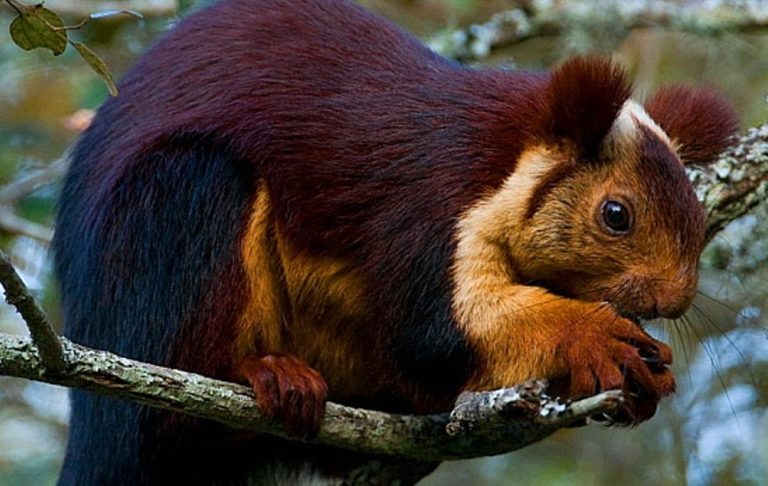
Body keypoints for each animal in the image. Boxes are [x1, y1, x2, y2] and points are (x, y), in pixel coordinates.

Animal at [52, 0, 739, 483]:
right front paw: (594, 337)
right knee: (160, 415)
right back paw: (264, 375)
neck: (506, 160)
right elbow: (431, 337)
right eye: (616, 214)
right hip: (179, 210)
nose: (674, 301)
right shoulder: (427, 206)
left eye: (696, 214)